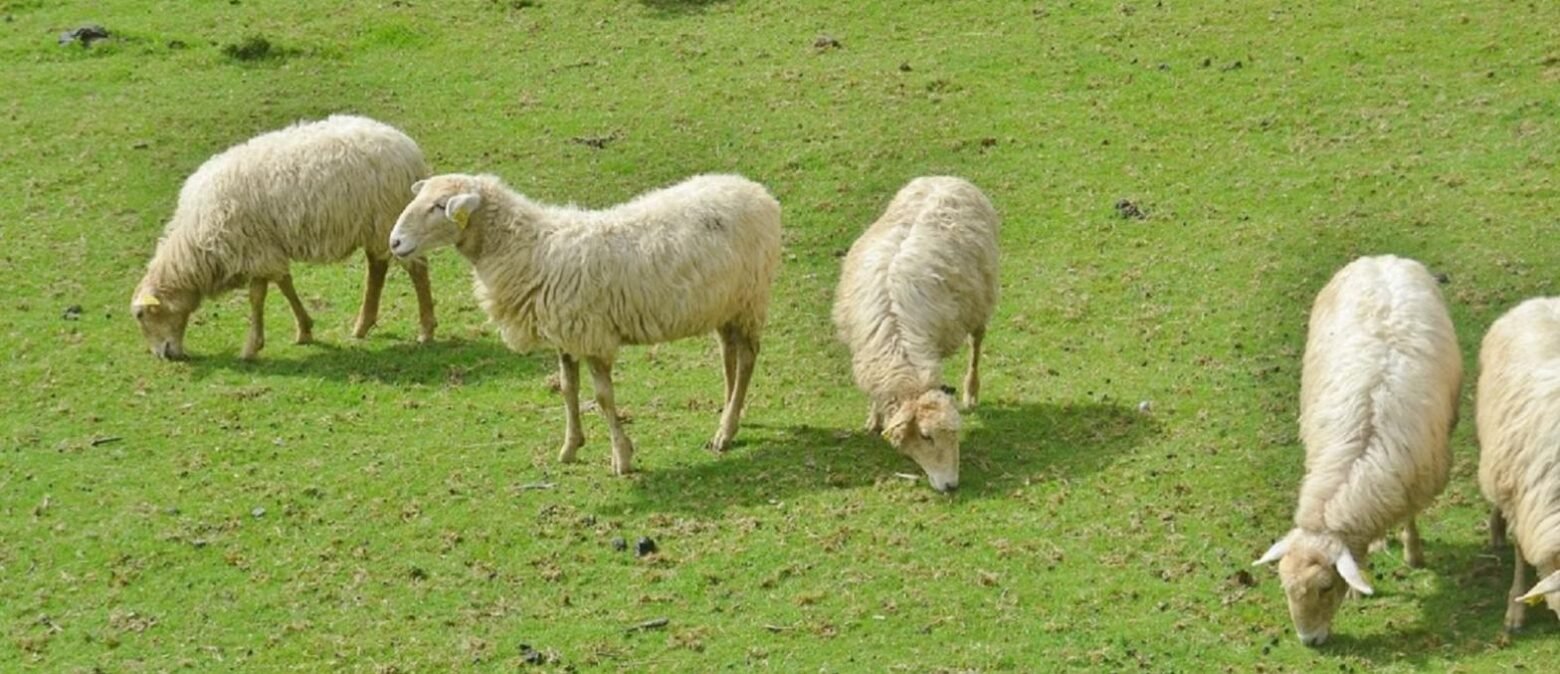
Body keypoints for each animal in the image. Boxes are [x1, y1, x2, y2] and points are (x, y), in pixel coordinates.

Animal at [131, 114, 436, 360]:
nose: (164, 356)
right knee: (377, 267)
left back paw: (426, 330)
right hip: (374, 225)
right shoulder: (264, 248)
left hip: (388, 218)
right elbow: (284, 284)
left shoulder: (254, 249)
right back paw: (362, 326)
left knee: (416, 269)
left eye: (141, 315)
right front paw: (304, 330)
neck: (196, 245)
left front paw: (251, 348)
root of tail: (408, 148)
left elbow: (257, 296)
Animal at [387, 173, 782, 475]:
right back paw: (730, 417)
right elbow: (568, 389)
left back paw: (726, 430)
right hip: (725, 305)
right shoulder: (565, 335)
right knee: (729, 356)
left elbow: (603, 398)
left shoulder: (591, 334)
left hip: (750, 298)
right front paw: (570, 447)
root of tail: (756, 190)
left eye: (440, 206)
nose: (395, 242)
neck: (530, 249)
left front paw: (622, 458)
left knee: (747, 358)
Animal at [831, 176, 999, 493]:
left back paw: (971, 391)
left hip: (981, 301)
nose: (951, 485)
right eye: (925, 436)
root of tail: (947, 178)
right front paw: (873, 420)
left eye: (954, 435)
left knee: (976, 345)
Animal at [1253, 255, 1462, 646]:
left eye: (1324, 587)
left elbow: (1411, 517)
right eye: (1284, 586)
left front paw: (1413, 553)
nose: (1309, 641)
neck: (1355, 466)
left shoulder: (1415, 479)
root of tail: (1384, 259)